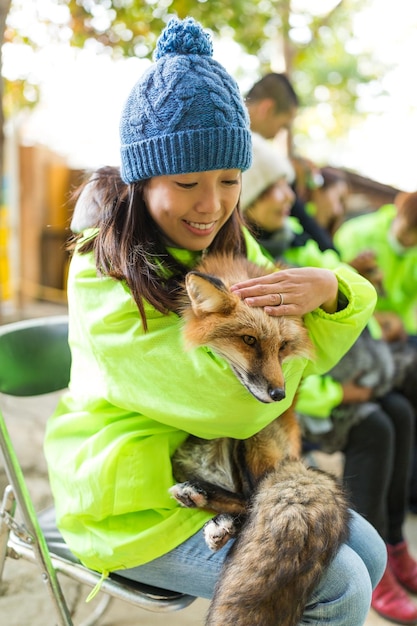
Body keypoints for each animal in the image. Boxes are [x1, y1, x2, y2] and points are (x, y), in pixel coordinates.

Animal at [168, 252, 348, 624]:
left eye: (283, 346)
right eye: (249, 340)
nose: (280, 395)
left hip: (251, 442)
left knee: (251, 500)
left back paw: (211, 512)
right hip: (188, 458)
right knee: (245, 500)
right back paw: (206, 505)